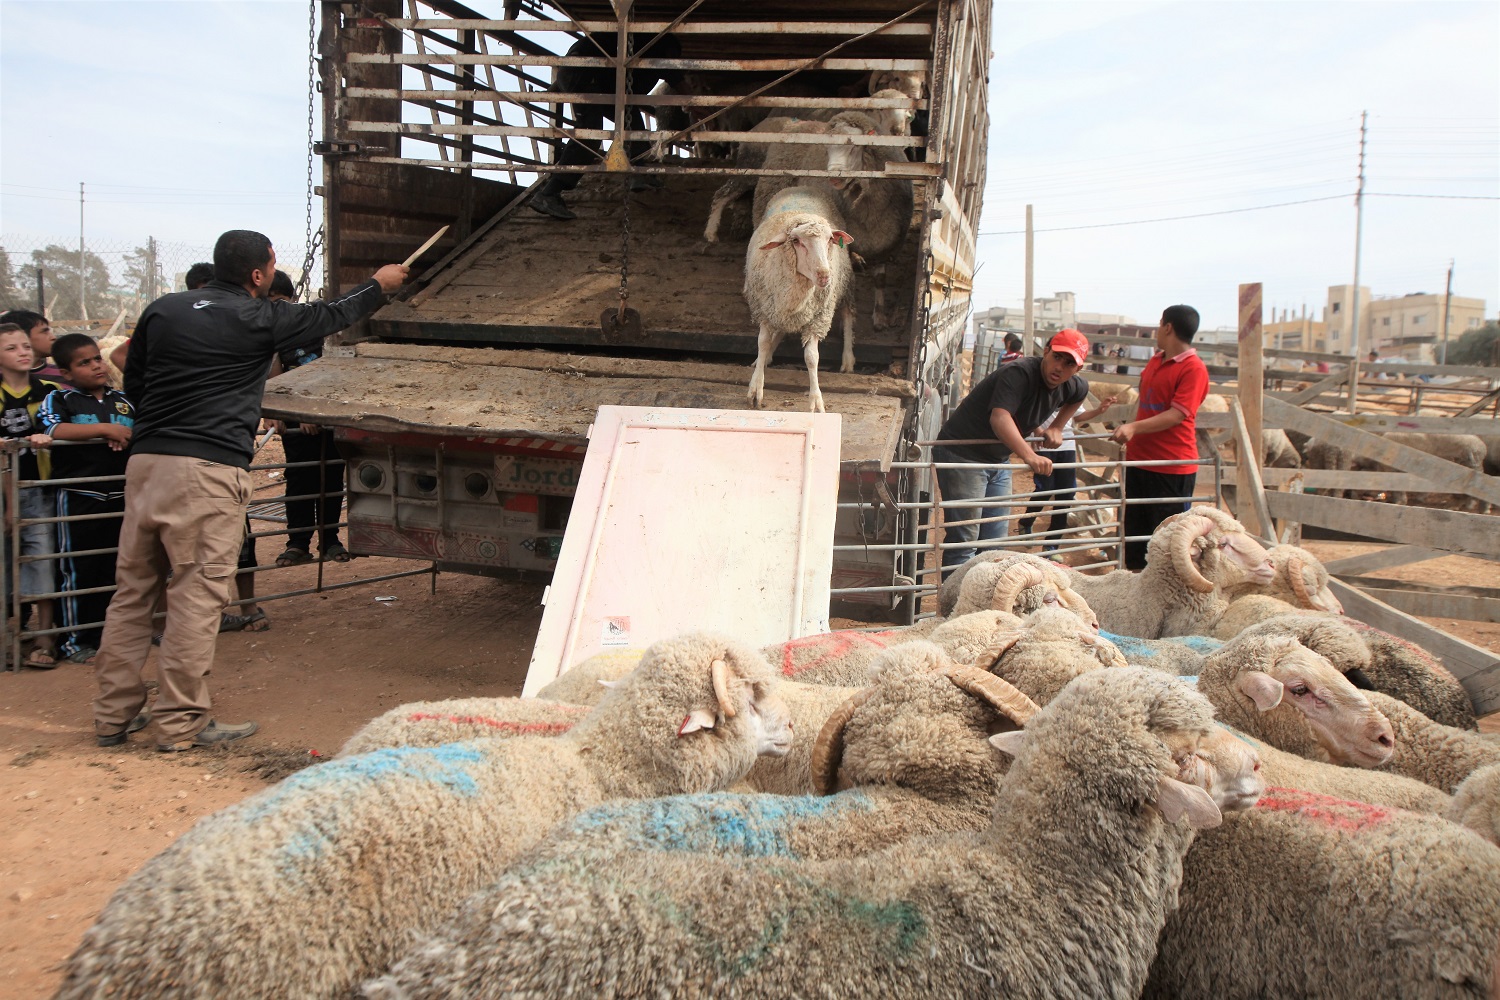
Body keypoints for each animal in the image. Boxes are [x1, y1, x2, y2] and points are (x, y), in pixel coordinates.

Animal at [741, 182, 852, 410]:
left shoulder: (818, 320)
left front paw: (816, 400)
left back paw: (848, 358)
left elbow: (812, 357)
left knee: (847, 313)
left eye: (830, 239)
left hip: (844, 284)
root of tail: (803, 185)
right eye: (796, 241)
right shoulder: (765, 310)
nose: (825, 275)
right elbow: (762, 343)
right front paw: (756, 388)